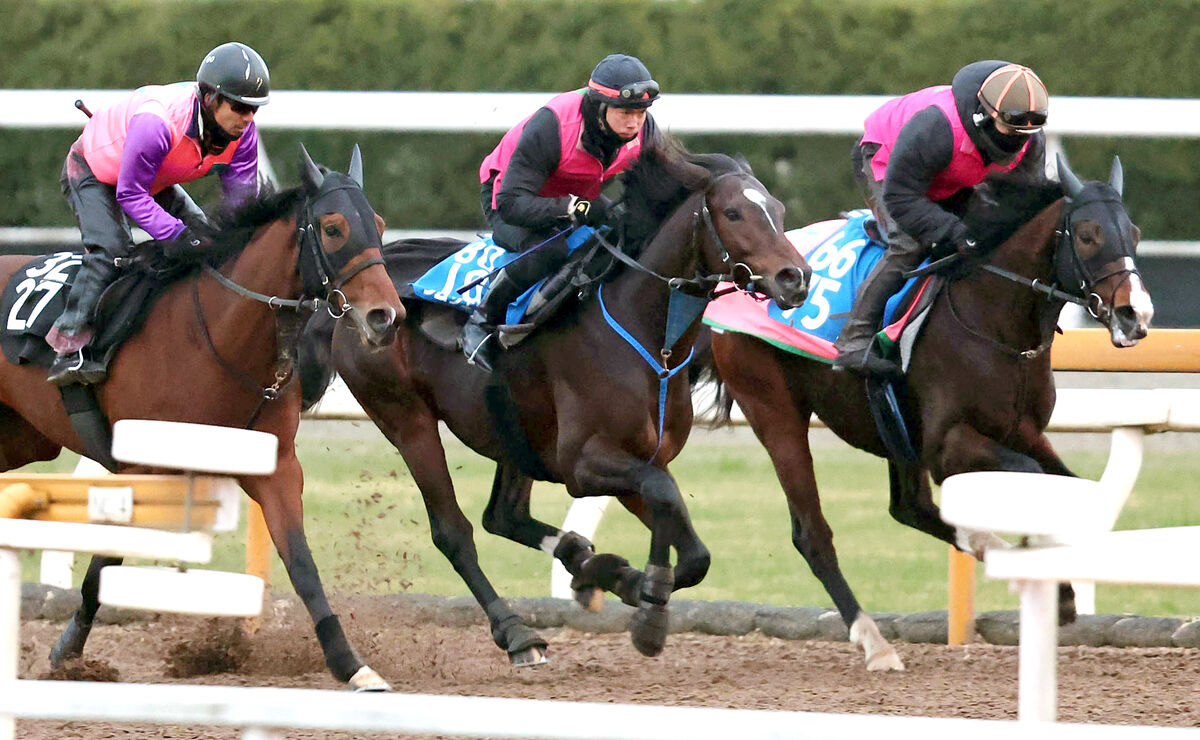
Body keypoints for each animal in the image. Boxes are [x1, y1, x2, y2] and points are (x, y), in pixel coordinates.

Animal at [0, 146, 405, 690]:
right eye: (334, 228)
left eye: (378, 225)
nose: (387, 317)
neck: (216, 333)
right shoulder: (143, 468)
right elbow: (105, 563)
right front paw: (69, 653)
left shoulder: (276, 467)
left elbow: (301, 564)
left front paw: (351, 663)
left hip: (22, 438)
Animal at [300, 135, 811, 662]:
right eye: (733, 213)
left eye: (776, 209)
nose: (796, 277)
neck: (649, 336)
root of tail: (347, 302)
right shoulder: (583, 464)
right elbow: (665, 497)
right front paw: (646, 603)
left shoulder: (642, 458)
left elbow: (689, 542)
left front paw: (626, 584)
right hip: (406, 419)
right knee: (453, 531)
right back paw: (517, 632)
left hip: (514, 433)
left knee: (503, 515)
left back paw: (583, 562)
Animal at [700, 155, 1152, 671]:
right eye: (1089, 235)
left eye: (1134, 233)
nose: (1136, 315)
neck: (993, 318)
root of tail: (736, 279)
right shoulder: (947, 446)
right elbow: (1032, 479)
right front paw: (1053, 583)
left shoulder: (1024, 430)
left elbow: (1069, 484)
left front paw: (1060, 586)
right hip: (775, 411)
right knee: (812, 533)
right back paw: (875, 642)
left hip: (894, 432)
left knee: (909, 507)